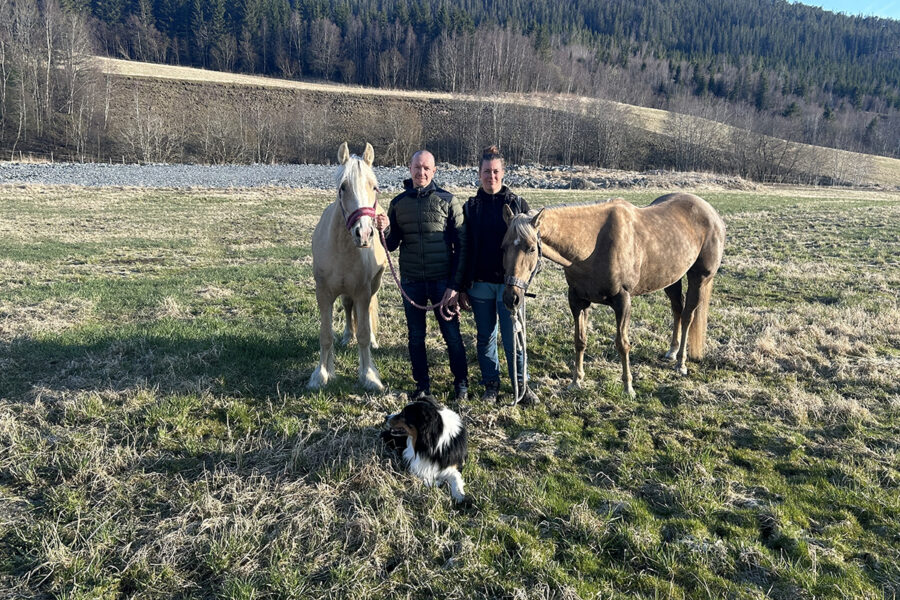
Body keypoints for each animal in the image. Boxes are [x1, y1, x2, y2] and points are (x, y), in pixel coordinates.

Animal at [310, 143, 386, 392]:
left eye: (374, 187)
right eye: (343, 187)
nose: (364, 233)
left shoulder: (363, 292)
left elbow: (363, 334)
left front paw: (368, 375)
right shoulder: (323, 293)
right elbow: (325, 335)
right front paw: (321, 375)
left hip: (374, 285)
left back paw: (373, 340)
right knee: (346, 305)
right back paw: (346, 336)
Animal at [502, 195, 728, 396]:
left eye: (531, 248)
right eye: (503, 246)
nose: (511, 298)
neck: (592, 244)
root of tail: (711, 213)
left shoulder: (622, 301)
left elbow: (622, 344)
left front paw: (628, 387)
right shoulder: (578, 301)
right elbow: (579, 340)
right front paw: (576, 381)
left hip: (700, 278)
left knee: (689, 315)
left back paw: (681, 362)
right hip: (671, 279)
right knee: (677, 310)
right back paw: (672, 352)